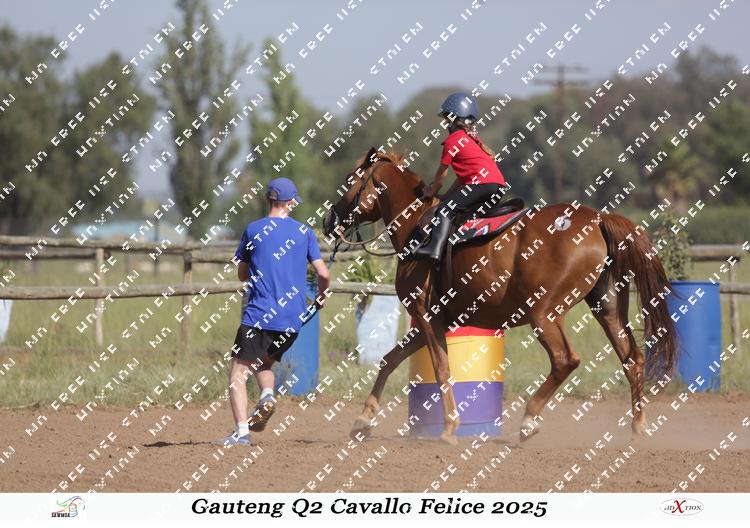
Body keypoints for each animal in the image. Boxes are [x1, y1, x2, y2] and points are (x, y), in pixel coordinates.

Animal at [323, 147, 678, 445]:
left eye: (350, 180)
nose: (328, 221)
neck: (415, 226)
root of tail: (598, 219)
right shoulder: (434, 321)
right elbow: (390, 359)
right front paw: (362, 421)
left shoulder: (426, 316)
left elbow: (441, 369)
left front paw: (449, 429)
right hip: (606, 306)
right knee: (633, 358)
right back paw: (638, 426)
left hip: (544, 312)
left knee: (565, 359)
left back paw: (529, 421)